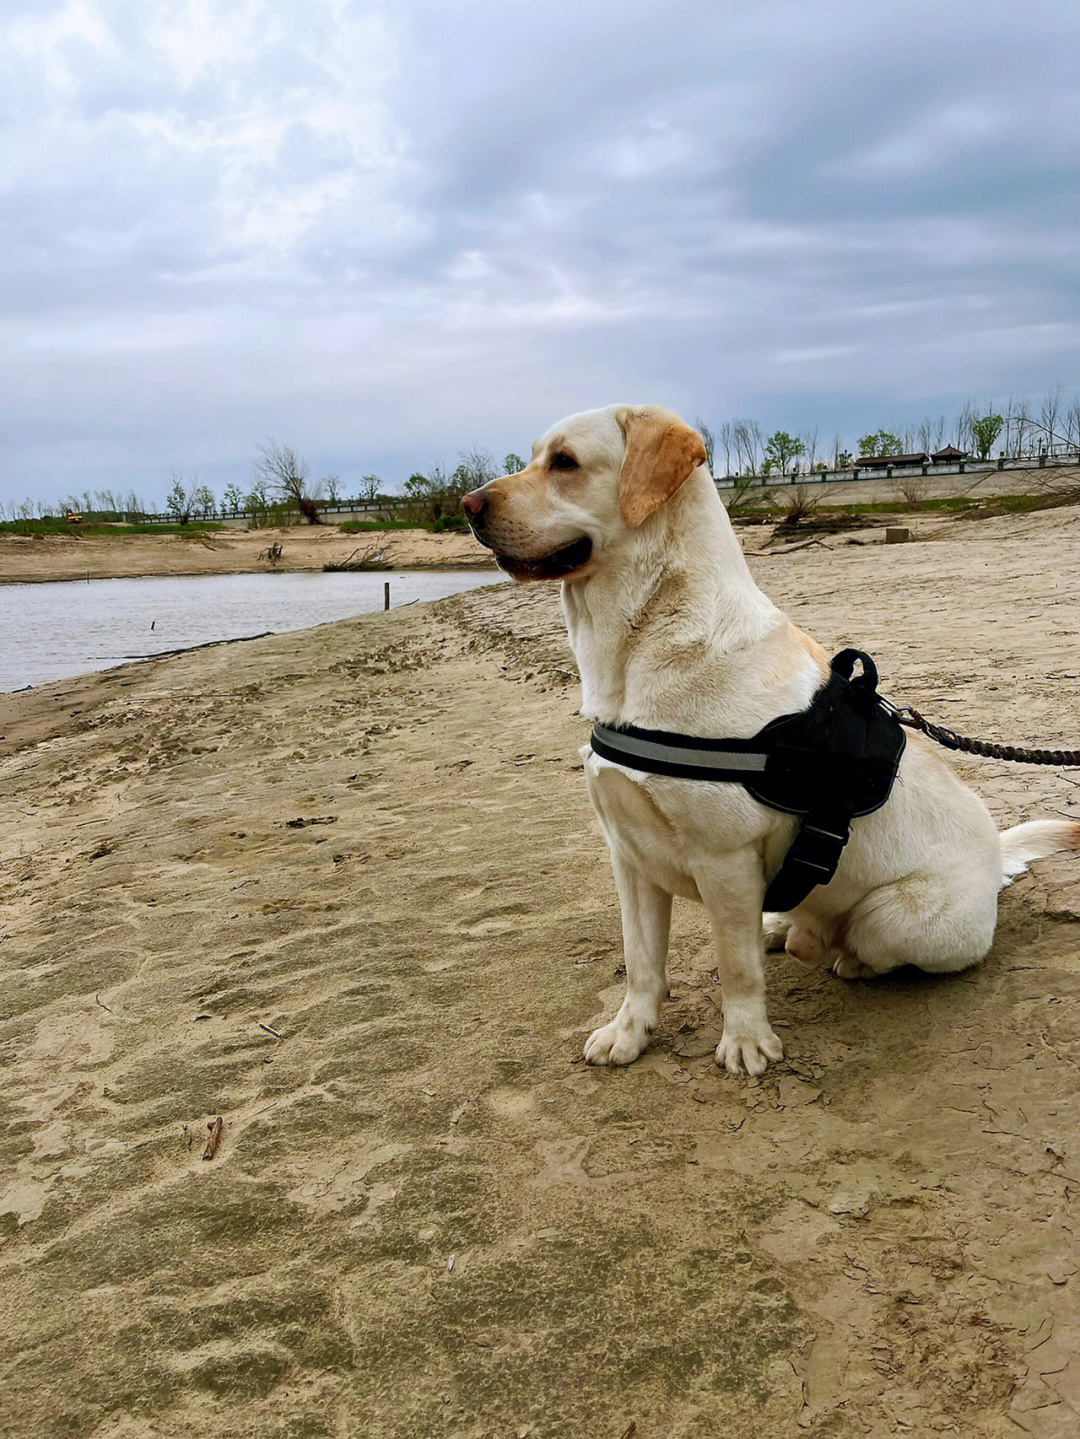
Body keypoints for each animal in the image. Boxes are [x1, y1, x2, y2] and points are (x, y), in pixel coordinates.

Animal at [460, 402, 1075, 1070]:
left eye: (566, 463)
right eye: (532, 457)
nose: (467, 506)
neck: (643, 646)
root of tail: (995, 862)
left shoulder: (724, 859)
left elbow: (736, 966)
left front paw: (746, 1040)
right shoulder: (629, 854)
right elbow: (641, 962)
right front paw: (629, 1033)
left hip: (896, 916)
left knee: (863, 944)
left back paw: (835, 954)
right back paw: (786, 930)